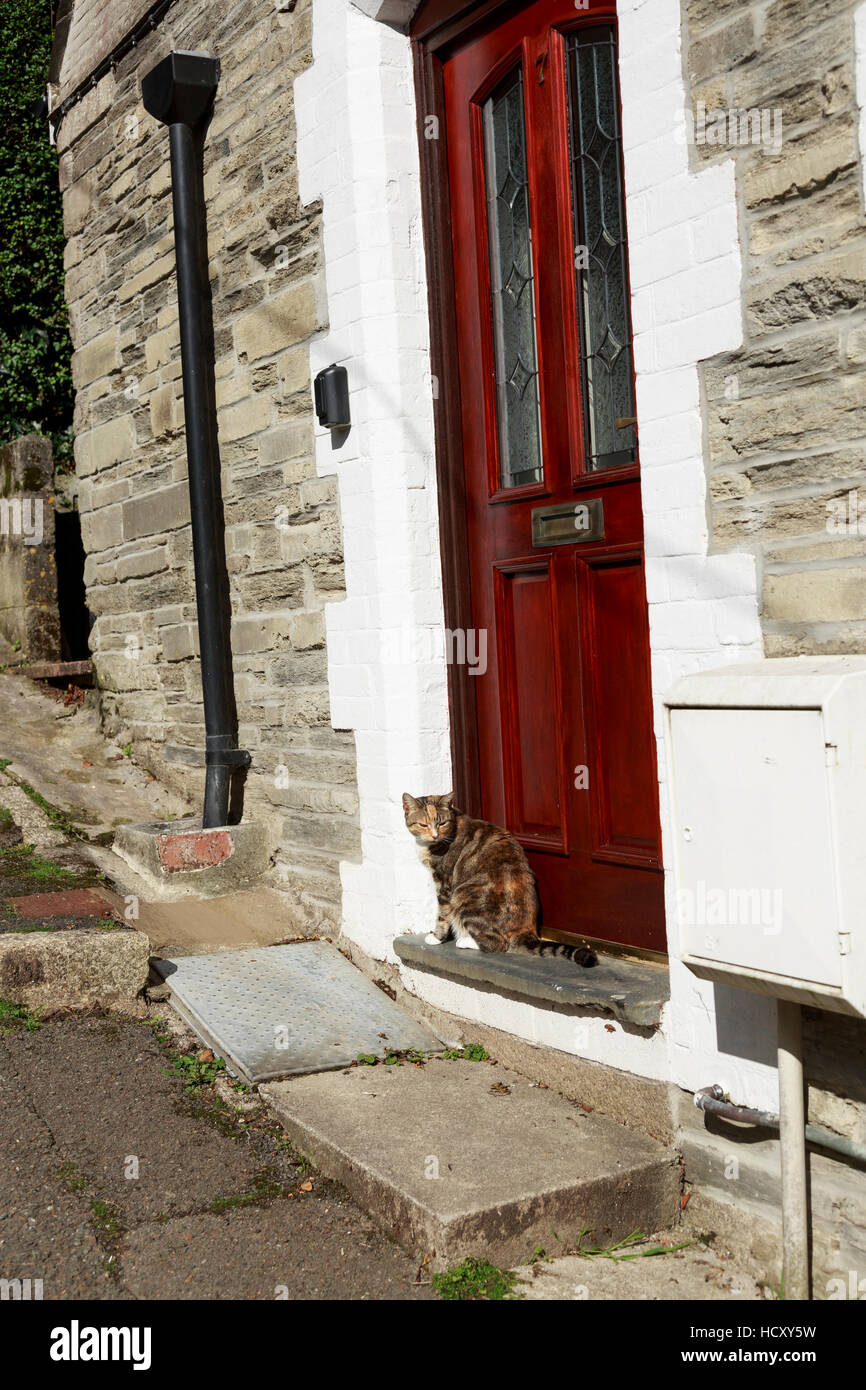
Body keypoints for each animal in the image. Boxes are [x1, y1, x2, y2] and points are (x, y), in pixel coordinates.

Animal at [400, 795, 594, 967]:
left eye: (442, 823)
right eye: (423, 824)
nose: (434, 835)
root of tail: (526, 930)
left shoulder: (444, 883)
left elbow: (442, 913)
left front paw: (436, 937)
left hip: (464, 894)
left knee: (497, 944)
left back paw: (465, 941)